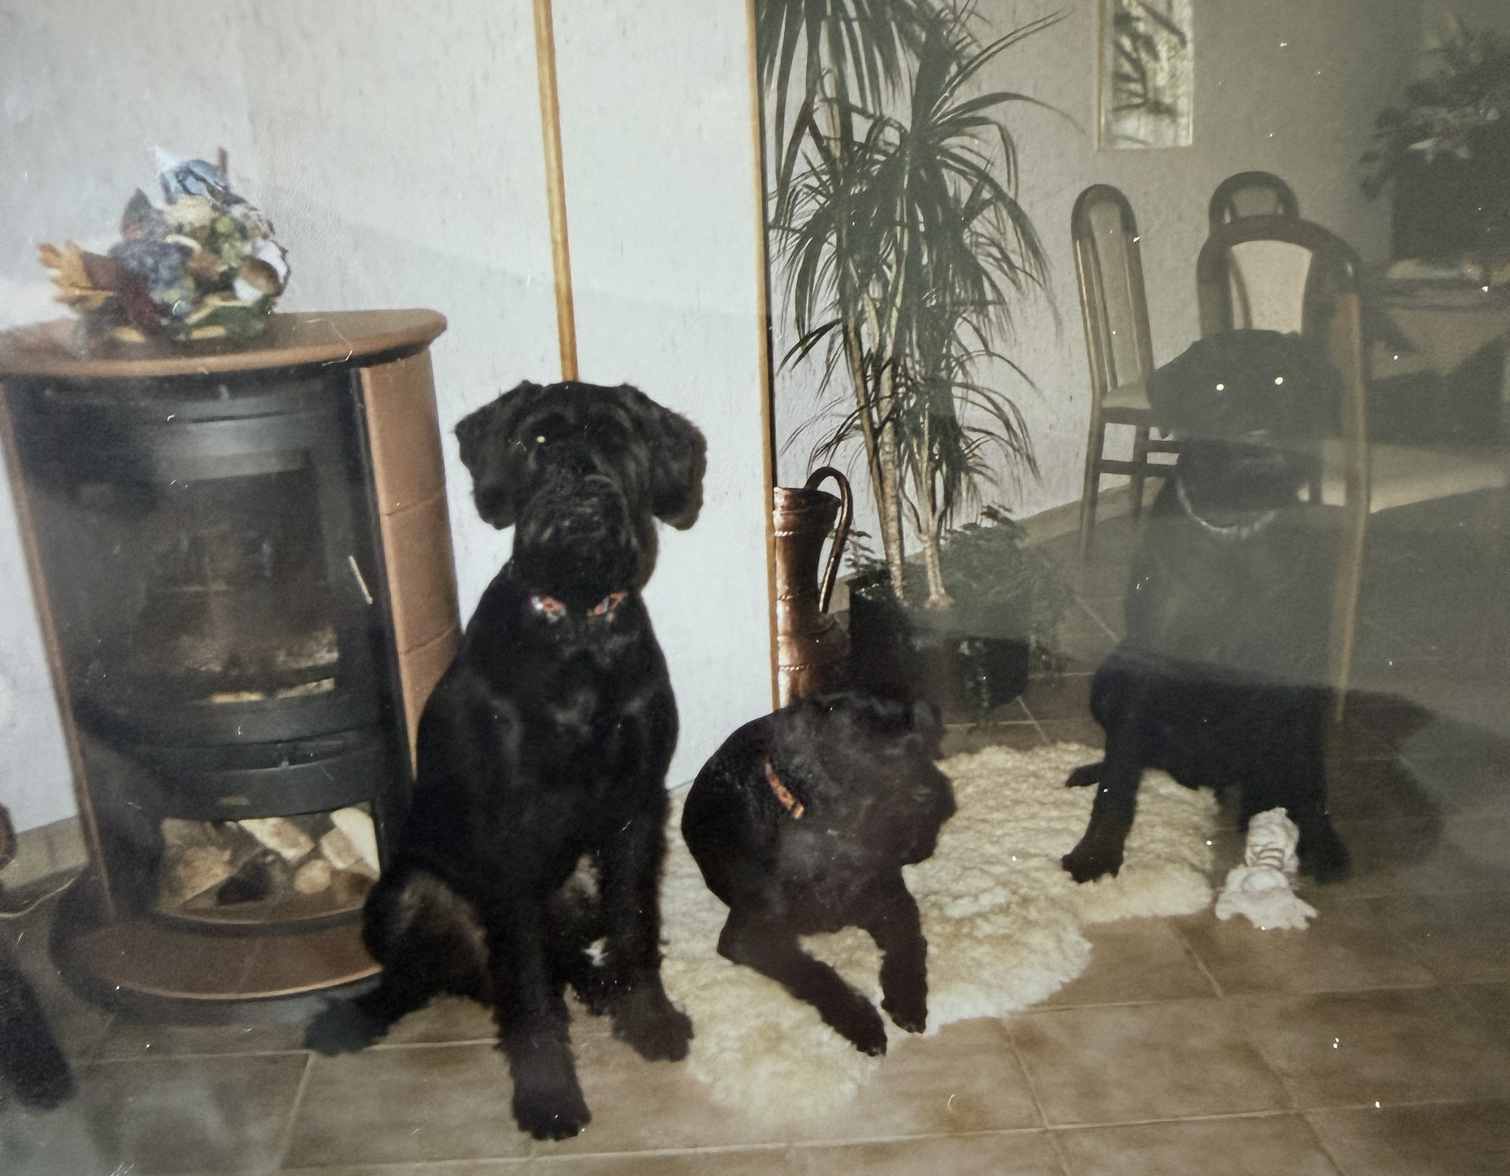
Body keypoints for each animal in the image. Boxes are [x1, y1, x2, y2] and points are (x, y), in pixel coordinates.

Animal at [305, 380, 704, 1140]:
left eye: (616, 439)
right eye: (538, 441)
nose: (579, 489)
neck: (577, 632)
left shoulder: (636, 811)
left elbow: (635, 926)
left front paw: (648, 1019)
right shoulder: (512, 832)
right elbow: (528, 987)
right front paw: (548, 1094)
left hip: (576, 888)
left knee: (567, 952)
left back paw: (601, 987)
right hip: (399, 897)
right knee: (416, 977)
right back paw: (354, 1020)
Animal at [681, 689, 955, 1056]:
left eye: (922, 744)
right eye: (867, 751)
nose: (933, 796)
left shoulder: (891, 900)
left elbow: (908, 945)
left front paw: (907, 1000)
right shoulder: (748, 935)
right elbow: (812, 972)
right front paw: (862, 1022)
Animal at [1061, 330, 1350, 885]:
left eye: (1282, 379)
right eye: (1216, 385)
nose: (1257, 425)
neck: (1236, 524)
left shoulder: (1297, 673)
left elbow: (1309, 772)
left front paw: (1321, 840)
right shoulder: (1146, 666)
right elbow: (1119, 775)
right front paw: (1097, 849)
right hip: (1110, 673)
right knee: (1126, 751)